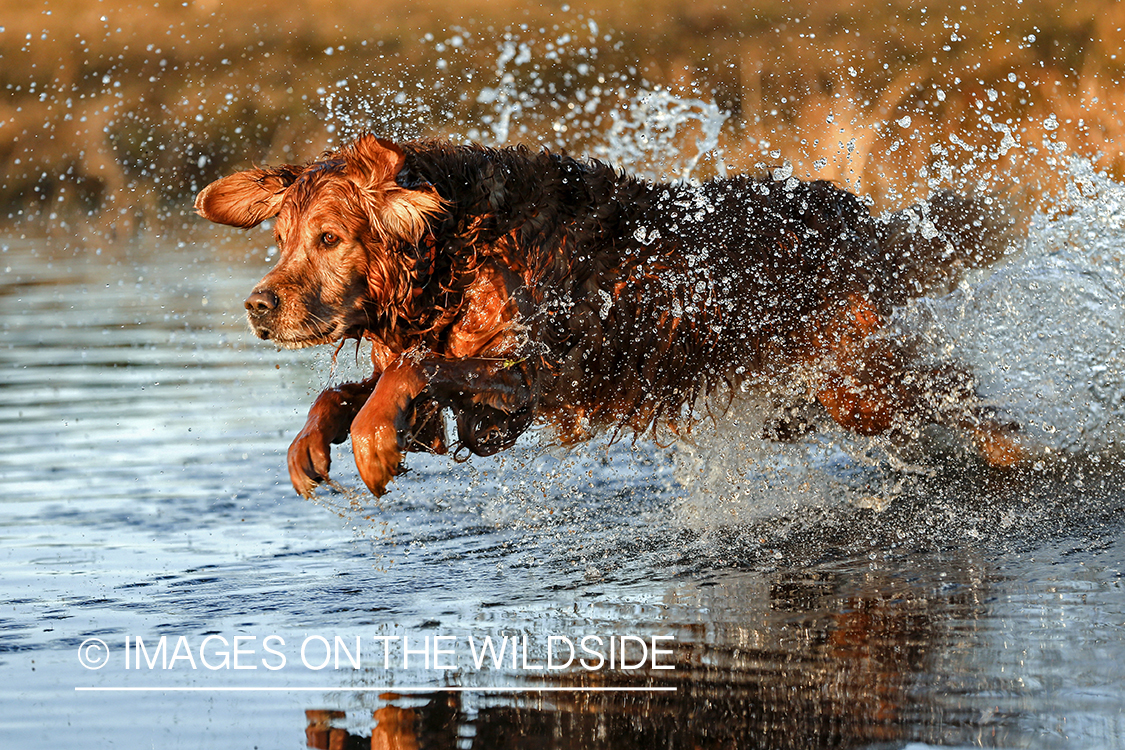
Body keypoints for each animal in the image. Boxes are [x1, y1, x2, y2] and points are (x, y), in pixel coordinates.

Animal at [198, 134, 1026, 499]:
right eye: (280, 240)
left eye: (328, 239)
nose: (257, 307)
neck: (459, 250)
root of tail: (858, 213)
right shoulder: (480, 412)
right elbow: (346, 391)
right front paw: (310, 444)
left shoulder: (529, 373)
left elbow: (413, 370)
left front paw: (372, 441)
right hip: (820, 394)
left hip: (858, 382)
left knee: (970, 404)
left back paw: (1028, 456)